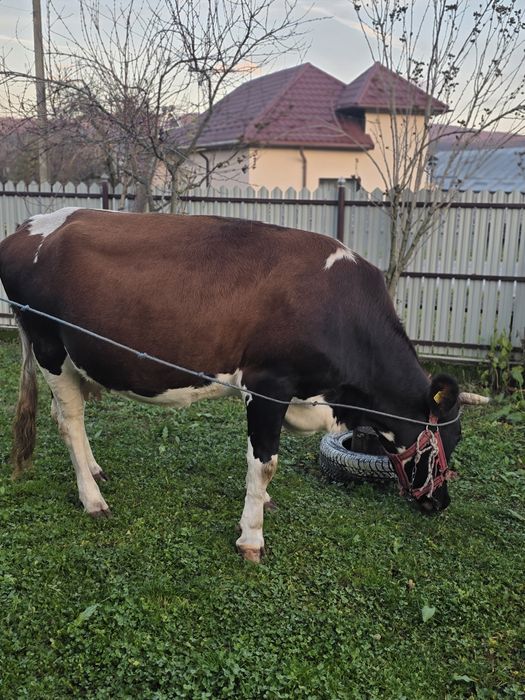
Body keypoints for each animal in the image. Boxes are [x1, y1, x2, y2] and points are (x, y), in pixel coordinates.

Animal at [0, 208, 487, 562]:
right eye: (452, 438)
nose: (440, 503)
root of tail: (27, 226)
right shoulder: (269, 383)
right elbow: (265, 462)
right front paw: (252, 537)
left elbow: (258, 462)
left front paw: (261, 505)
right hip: (48, 346)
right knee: (70, 421)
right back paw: (93, 499)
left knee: (71, 417)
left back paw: (96, 469)